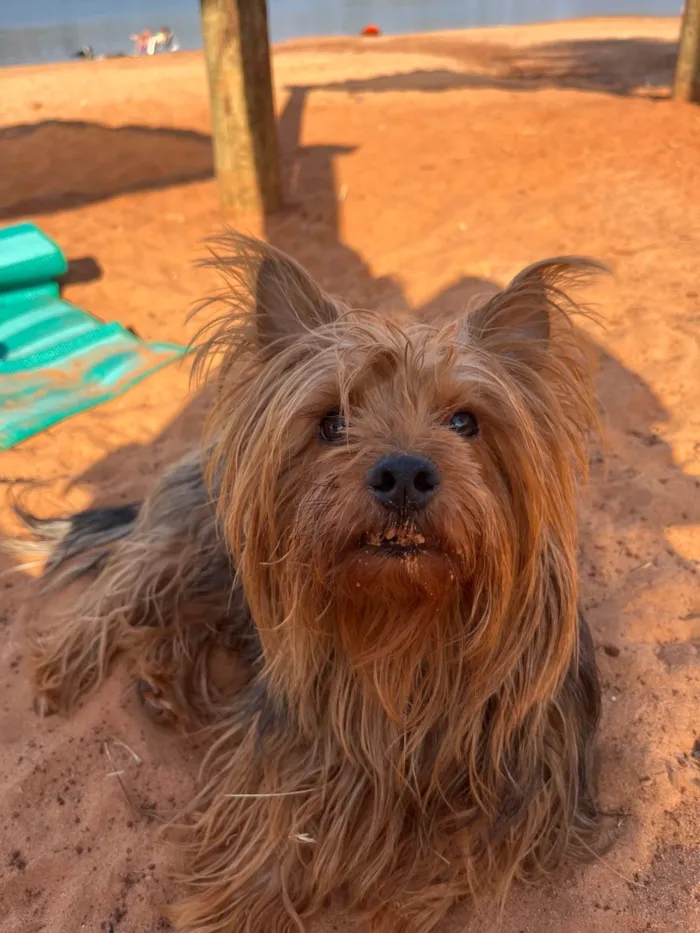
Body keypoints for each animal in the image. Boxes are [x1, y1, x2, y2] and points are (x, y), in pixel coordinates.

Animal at [19, 237, 604, 932]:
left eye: (465, 422)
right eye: (332, 422)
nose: (403, 473)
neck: (406, 625)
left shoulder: (526, 783)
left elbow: (449, 856)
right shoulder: (292, 752)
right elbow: (274, 828)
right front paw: (234, 906)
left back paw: (164, 683)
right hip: (195, 536)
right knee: (122, 590)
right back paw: (63, 672)